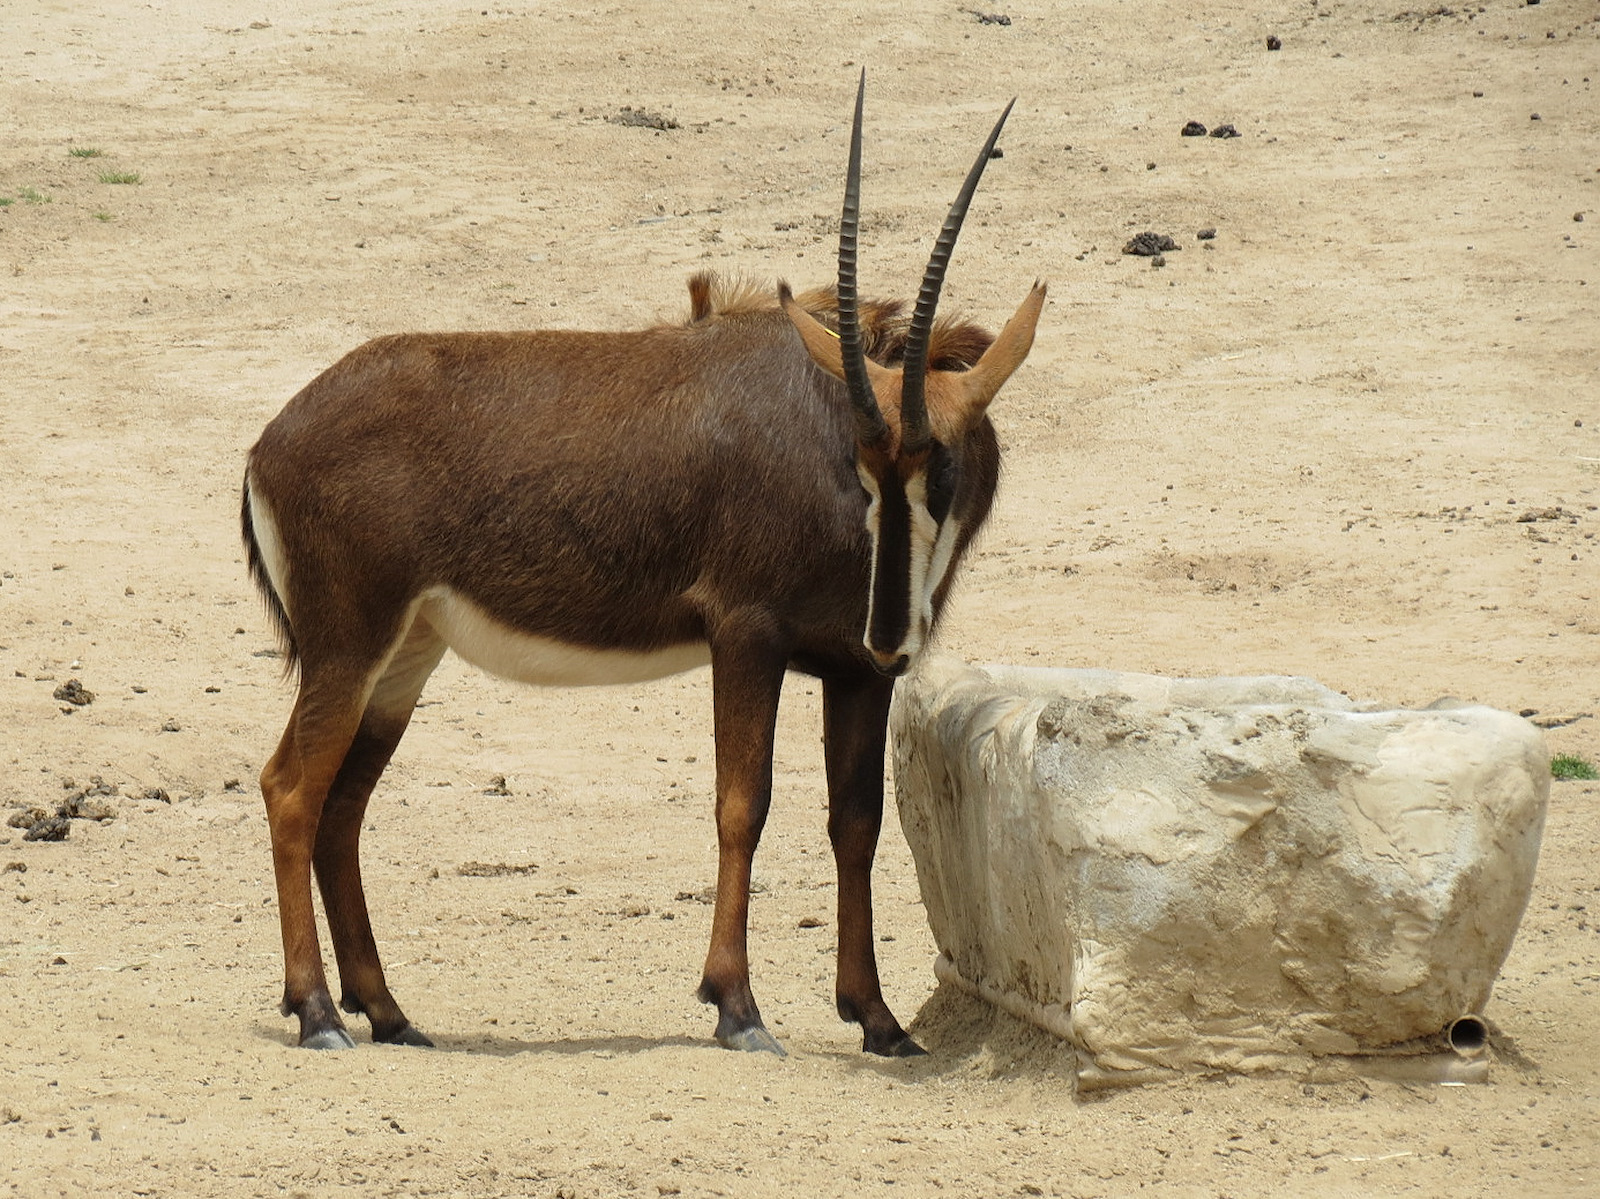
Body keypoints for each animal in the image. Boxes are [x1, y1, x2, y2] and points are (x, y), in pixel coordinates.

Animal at [241, 74, 1044, 1057]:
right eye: (862, 466)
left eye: (943, 466)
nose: (894, 631)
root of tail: (270, 442)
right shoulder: (747, 634)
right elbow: (742, 804)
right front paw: (737, 1007)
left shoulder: (856, 673)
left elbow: (854, 822)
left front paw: (879, 1018)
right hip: (348, 648)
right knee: (291, 790)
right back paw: (318, 1011)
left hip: (403, 659)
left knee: (342, 805)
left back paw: (387, 1010)